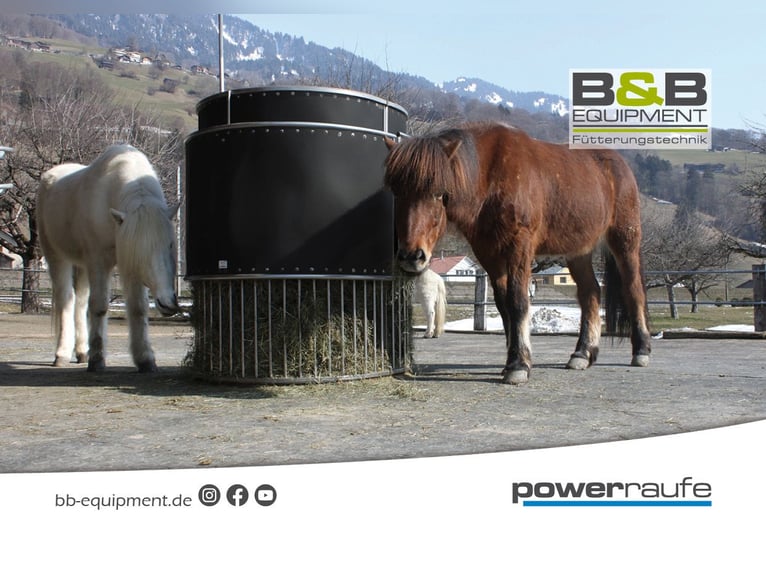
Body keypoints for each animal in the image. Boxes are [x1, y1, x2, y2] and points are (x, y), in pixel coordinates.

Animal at [37, 144, 181, 373]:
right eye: (140, 252)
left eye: (170, 245)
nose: (168, 303)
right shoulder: (99, 262)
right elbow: (99, 306)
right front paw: (97, 360)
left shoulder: (126, 267)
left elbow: (138, 308)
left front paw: (145, 359)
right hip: (56, 257)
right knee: (66, 300)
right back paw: (62, 354)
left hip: (82, 266)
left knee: (80, 302)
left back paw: (81, 352)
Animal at [385, 122, 651, 384]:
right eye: (397, 192)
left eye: (439, 193)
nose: (412, 256)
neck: (490, 177)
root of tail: (619, 164)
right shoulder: (489, 254)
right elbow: (504, 305)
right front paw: (511, 361)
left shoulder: (519, 247)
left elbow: (518, 301)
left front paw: (519, 365)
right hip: (578, 251)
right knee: (590, 293)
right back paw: (583, 354)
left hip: (625, 240)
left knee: (633, 290)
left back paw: (641, 351)